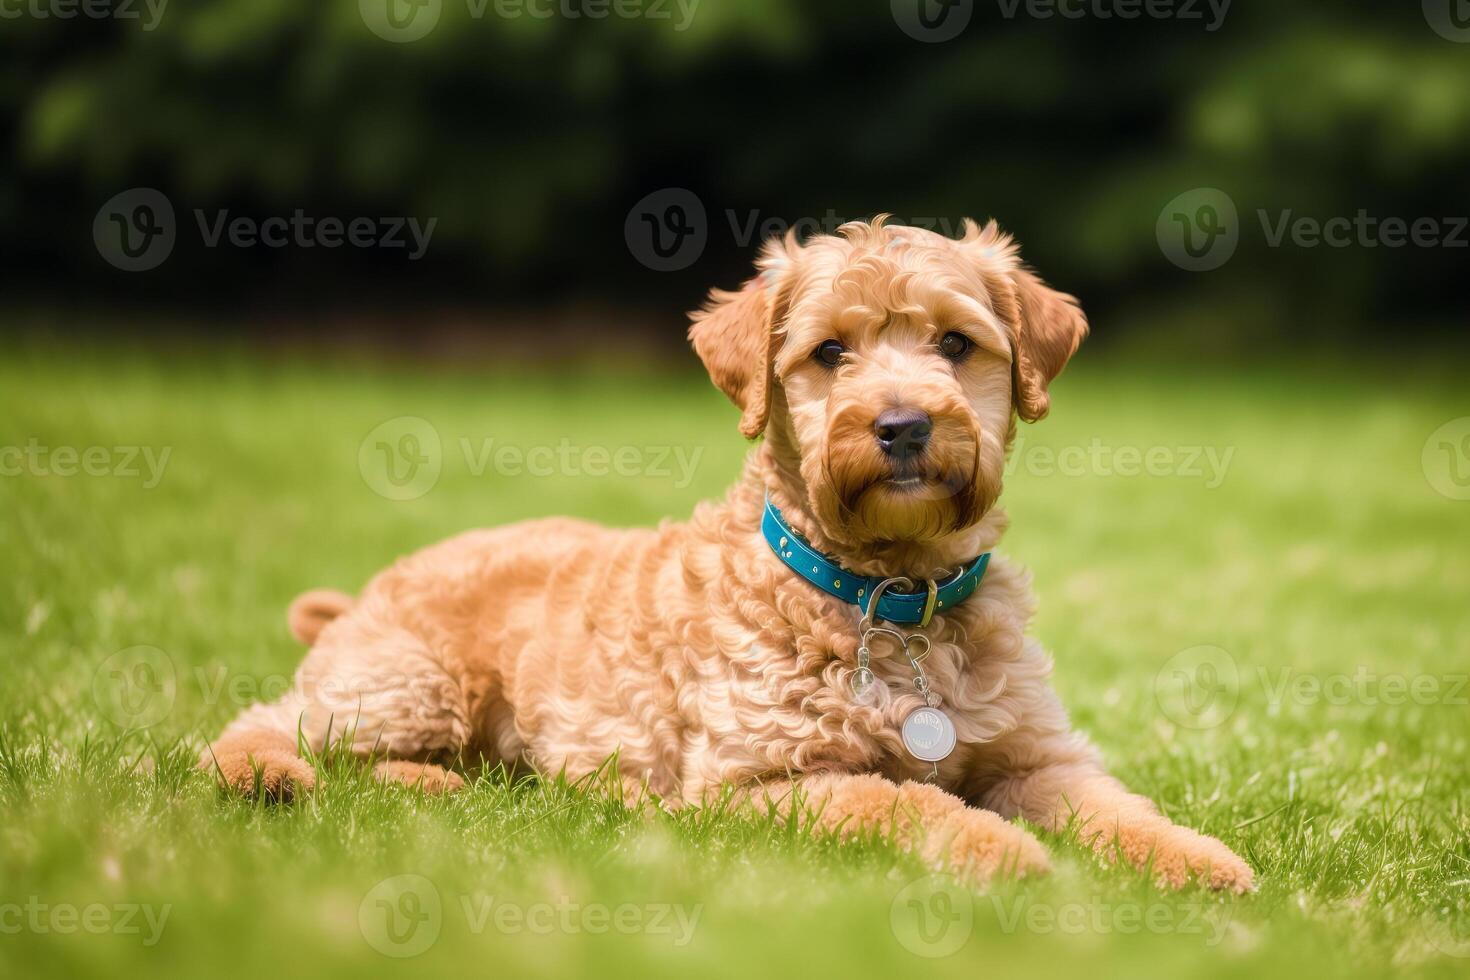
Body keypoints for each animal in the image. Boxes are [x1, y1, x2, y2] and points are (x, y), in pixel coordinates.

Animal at [204, 218, 1252, 893]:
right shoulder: (759, 783)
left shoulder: (1037, 756)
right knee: (270, 724)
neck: (890, 595)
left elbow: (1116, 808)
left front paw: (1198, 864)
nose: (904, 426)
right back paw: (272, 779)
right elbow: (906, 806)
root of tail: (358, 598)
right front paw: (1005, 856)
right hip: (412, 683)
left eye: (958, 343)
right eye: (828, 353)